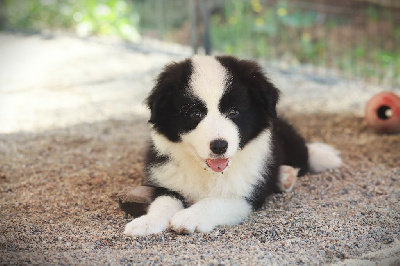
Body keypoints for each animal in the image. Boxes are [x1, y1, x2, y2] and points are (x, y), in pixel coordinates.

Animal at [124, 55, 340, 236]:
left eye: (234, 111)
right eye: (194, 113)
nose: (219, 146)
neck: (207, 173)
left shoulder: (245, 197)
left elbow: (216, 201)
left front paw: (189, 217)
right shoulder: (165, 180)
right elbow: (163, 201)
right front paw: (146, 222)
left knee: (304, 154)